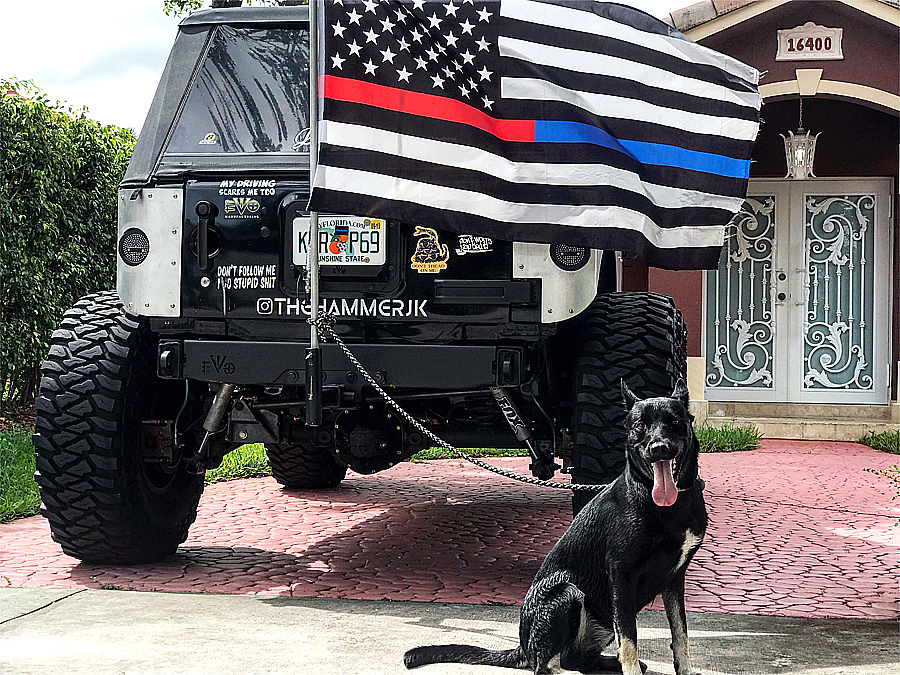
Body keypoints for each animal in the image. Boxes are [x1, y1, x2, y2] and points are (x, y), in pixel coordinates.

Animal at [404, 379, 707, 675]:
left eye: (675, 422)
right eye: (640, 426)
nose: (659, 449)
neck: (667, 505)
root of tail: (524, 645)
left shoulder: (674, 578)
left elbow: (680, 633)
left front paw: (686, 670)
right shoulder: (621, 574)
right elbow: (630, 641)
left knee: (577, 659)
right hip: (568, 593)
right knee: (545, 664)